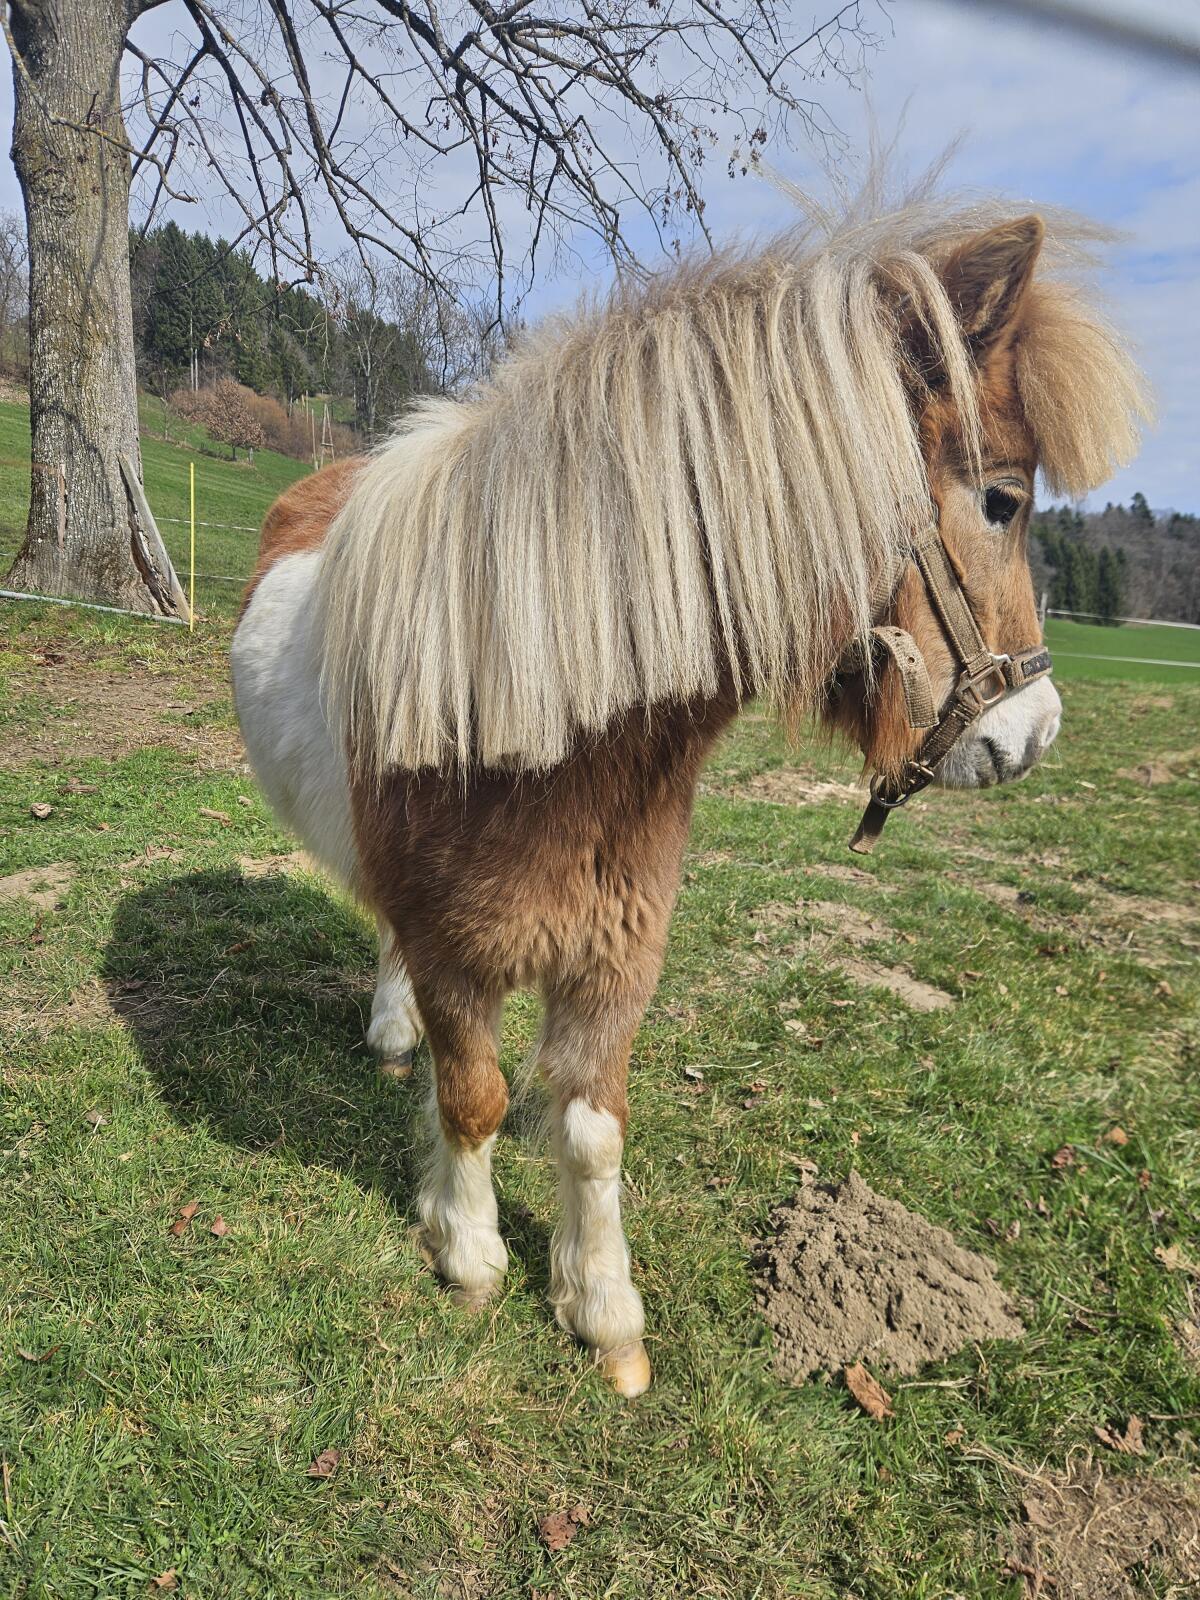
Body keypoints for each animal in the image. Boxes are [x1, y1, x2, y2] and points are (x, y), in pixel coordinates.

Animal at [231, 195, 1145, 1397]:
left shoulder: (617, 959)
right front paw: (469, 1254)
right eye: (1000, 500)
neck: (539, 715)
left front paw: (602, 1309)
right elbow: (474, 1099)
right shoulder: (454, 950)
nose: (1031, 736)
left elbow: (591, 1130)